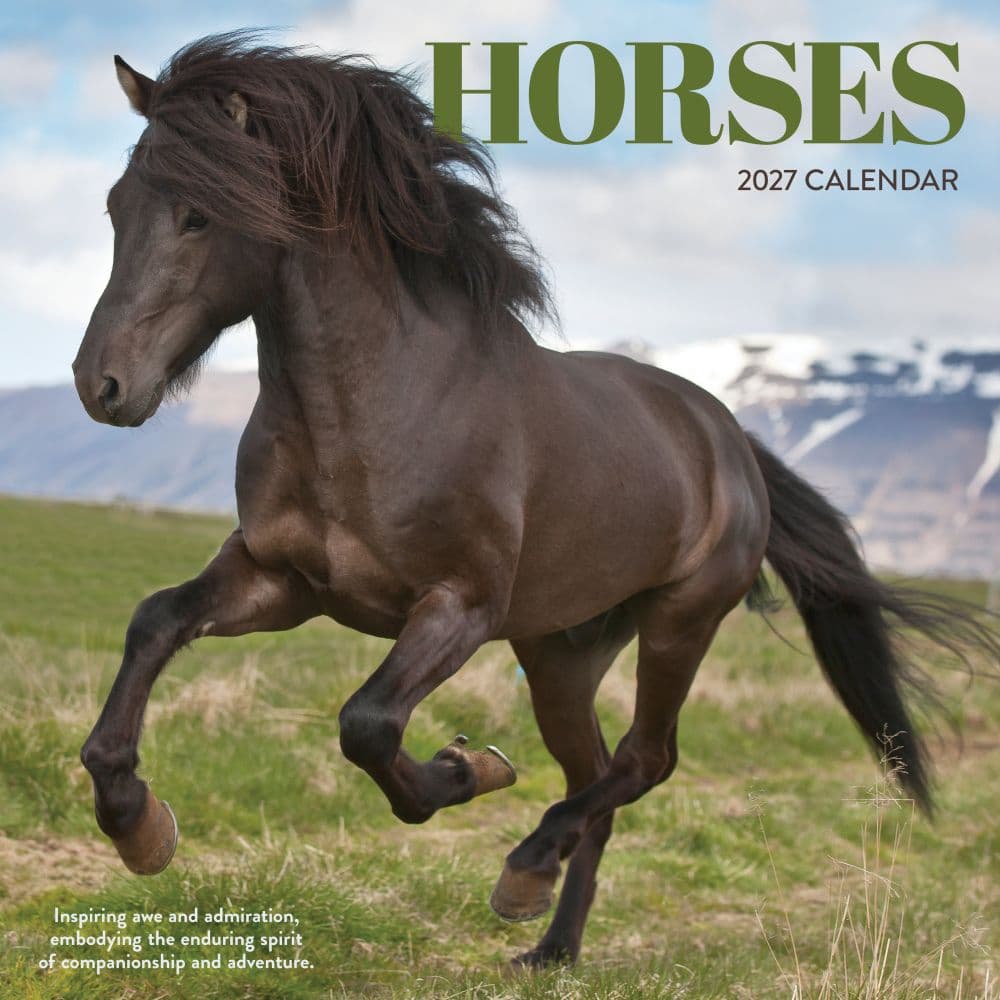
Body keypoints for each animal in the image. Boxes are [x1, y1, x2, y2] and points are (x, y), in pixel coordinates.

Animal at [72, 33, 996, 969]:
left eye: (198, 215)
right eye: (114, 207)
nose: (100, 384)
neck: (377, 408)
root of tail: (728, 438)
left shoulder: (460, 606)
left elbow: (368, 722)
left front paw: (466, 769)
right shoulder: (281, 580)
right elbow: (155, 622)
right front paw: (137, 823)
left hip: (680, 621)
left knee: (644, 761)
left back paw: (525, 869)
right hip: (561, 653)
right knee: (597, 777)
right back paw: (551, 942)